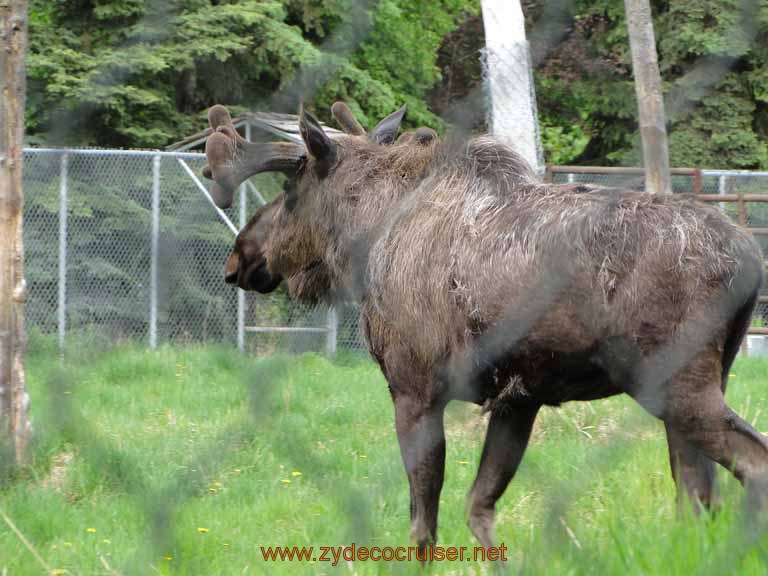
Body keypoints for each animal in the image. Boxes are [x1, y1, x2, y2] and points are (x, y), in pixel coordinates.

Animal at [202, 101, 768, 552]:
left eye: (290, 187)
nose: (241, 258)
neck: (371, 235)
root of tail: (749, 258)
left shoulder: (414, 389)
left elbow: (422, 527)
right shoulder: (519, 398)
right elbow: (479, 508)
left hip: (676, 384)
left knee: (747, 468)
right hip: (704, 378)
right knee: (697, 494)